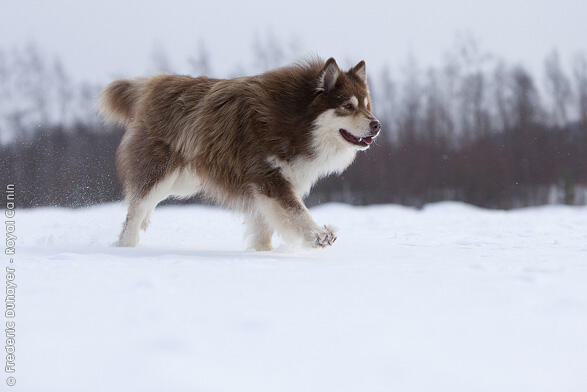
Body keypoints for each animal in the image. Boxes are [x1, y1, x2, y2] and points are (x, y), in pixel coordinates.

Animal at [99, 56, 382, 250]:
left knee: (142, 205)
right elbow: (297, 211)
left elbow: (267, 226)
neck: (296, 120)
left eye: (367, 106)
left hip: (184, 180)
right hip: (160, 173)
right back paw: (127, 246)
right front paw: (318, 235)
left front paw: (263, 254)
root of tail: (155, 82)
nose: (377, 125)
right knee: (135, 209)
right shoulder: (269, 178)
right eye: (348, 106)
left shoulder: (272, 185)